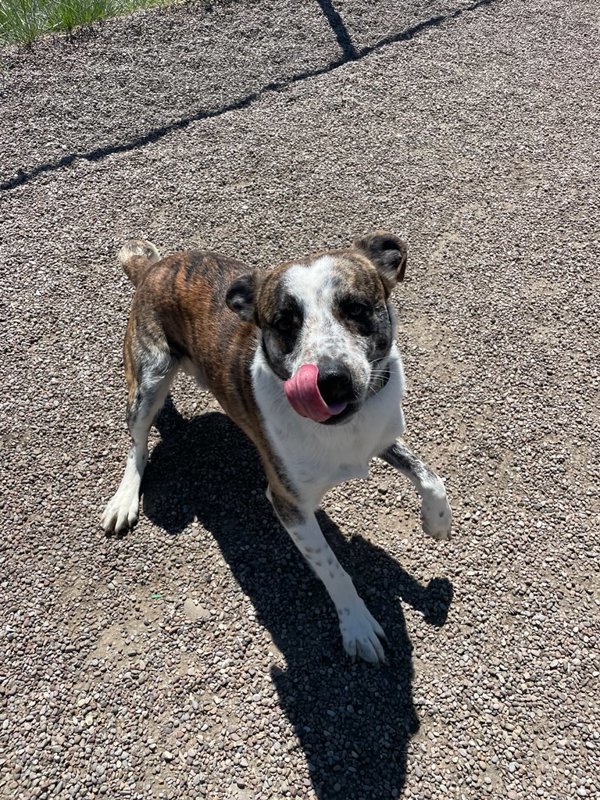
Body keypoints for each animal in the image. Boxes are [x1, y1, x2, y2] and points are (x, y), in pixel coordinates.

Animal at [102, 231, 450, 664]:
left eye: (355, 308)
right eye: (285, 322)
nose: (330, 380)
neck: (343, 432)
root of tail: (152, 265)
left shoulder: (382, 436)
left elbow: (431, 477)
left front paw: (437, 521)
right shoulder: (289, 503)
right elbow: (334, 569)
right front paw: (356, 624)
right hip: (148, 381)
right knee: (138, 445)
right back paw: (124, 500)